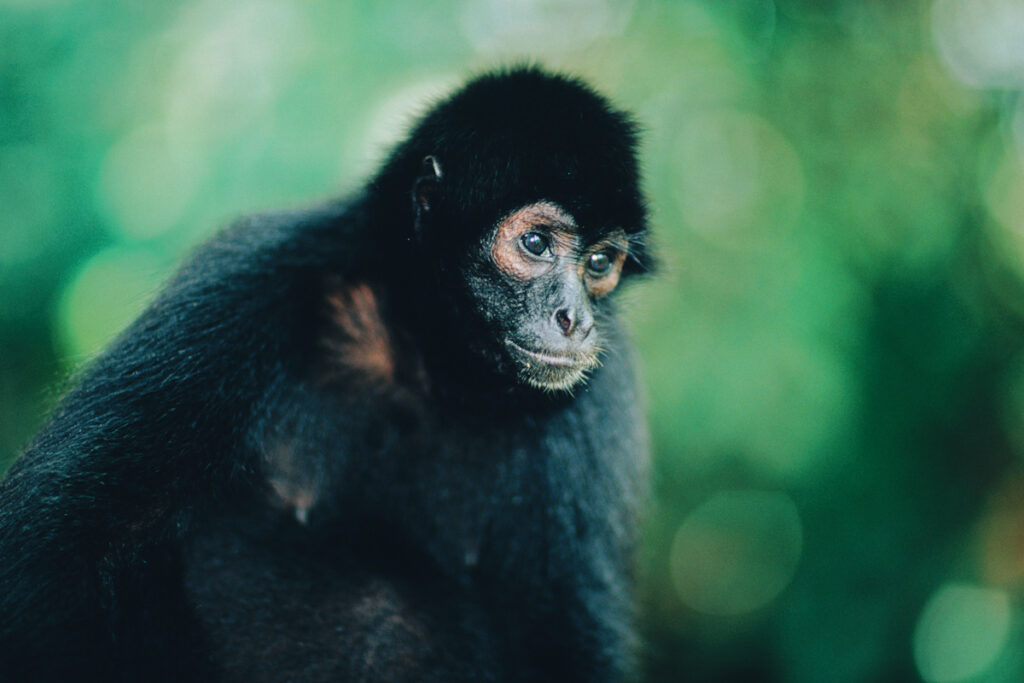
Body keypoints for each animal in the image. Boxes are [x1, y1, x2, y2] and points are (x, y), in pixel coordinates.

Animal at [0, 68, 655, 683]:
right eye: (537, 242)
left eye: (600, 262)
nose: (574, 319)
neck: (423, 358)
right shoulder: (252, 278)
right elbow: (65, 540)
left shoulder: (596, 397)